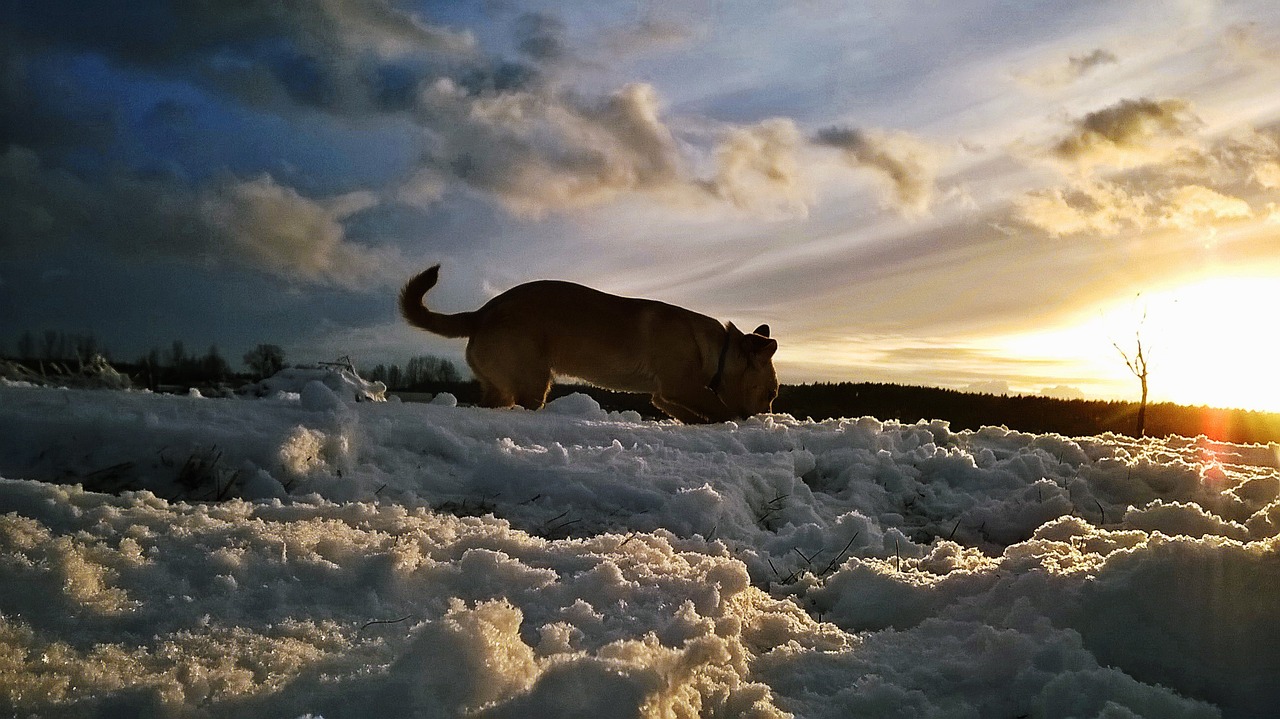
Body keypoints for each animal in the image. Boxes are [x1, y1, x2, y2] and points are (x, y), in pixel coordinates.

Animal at [399, 263, 778, 419]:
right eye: (773, 393)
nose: (767, 415)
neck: (718, 349)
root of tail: (481, 312)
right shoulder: (680, 387)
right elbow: (720, 408)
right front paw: (736, 421)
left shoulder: (665, 395)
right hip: (533, 382)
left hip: (503, 386)